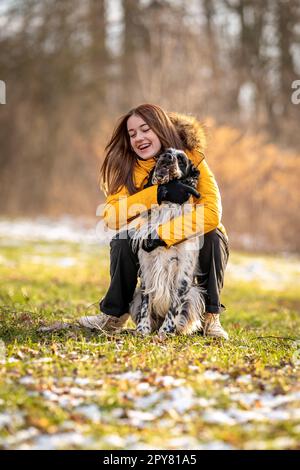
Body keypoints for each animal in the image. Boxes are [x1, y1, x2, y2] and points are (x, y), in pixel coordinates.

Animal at [127, 148, 205, 338]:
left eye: (181, 159)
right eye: (165, 152)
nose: (167, 157)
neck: (168, 206)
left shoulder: (182, 271)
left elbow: (174, 305)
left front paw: (166, 331)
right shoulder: (147, 267)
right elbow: (146, 303)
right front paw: (143, 329)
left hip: (194, 295)